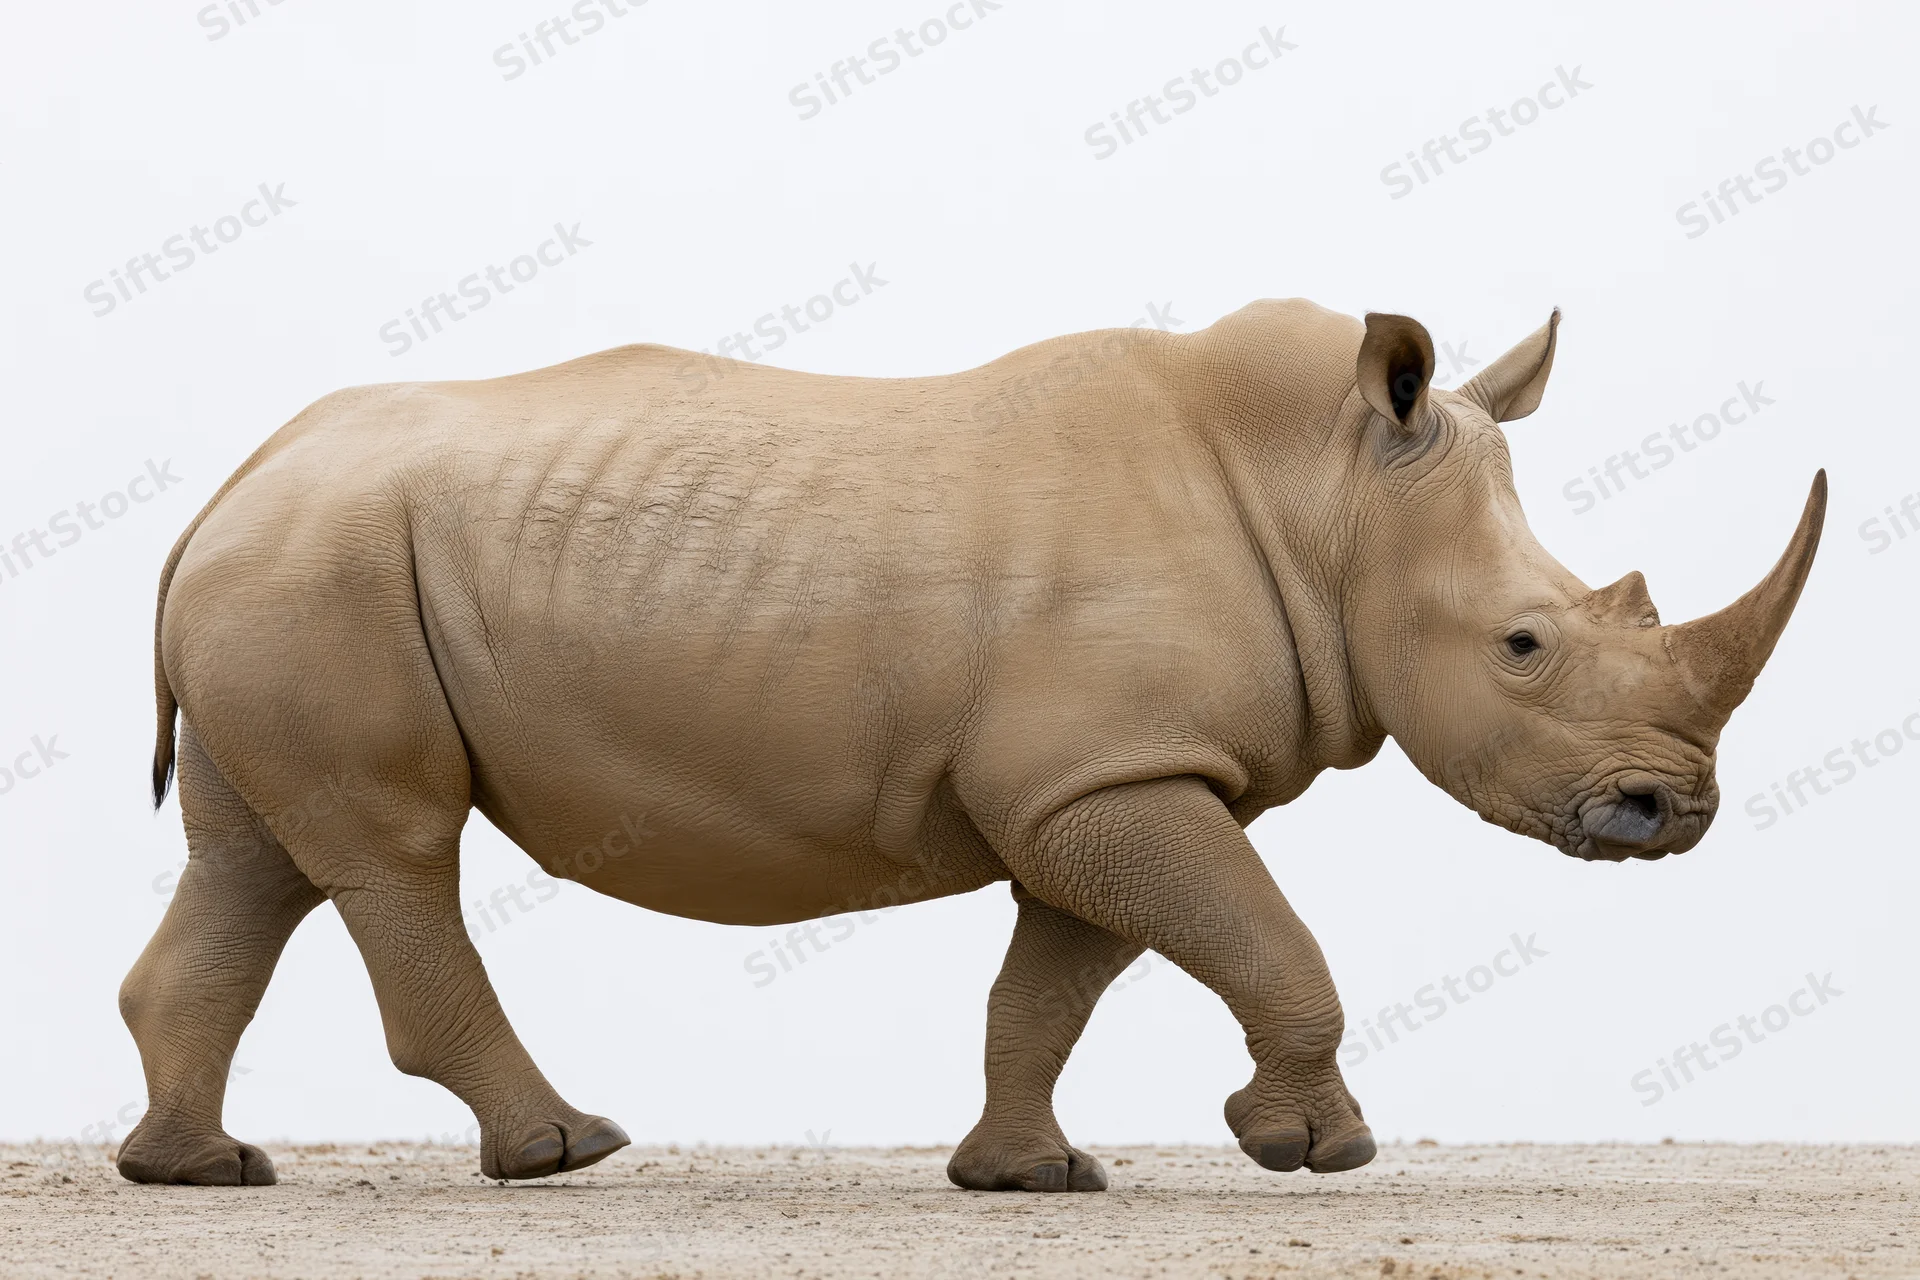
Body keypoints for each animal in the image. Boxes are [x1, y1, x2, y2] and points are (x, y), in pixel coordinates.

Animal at [119, 300, 1824, 1191]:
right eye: (1527, 646)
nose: (1672, 810)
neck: (1328, 496)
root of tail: (224, 488)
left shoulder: (1104, 776)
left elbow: (1054, 985)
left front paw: (1027, 1177)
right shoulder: (1111, 775)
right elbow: (1269, 941)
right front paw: (1320, 1154)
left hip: (295, 568)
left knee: (258, 858)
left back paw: (198, 1173)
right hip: (324, 569)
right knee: (392, 846)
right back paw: (564, 1151)